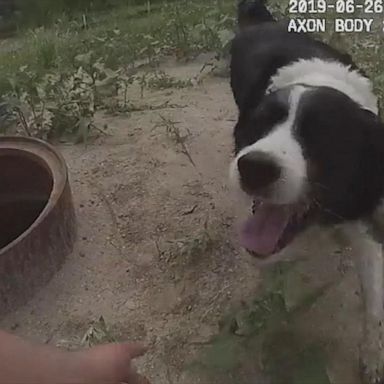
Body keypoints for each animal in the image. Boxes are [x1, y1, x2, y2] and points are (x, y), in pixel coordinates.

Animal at [230, 1, 384, 382]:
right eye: (259, 126)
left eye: (323, 135)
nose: (253, 167)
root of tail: (262, 21)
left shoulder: (363, 213)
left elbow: (374, 304)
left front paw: (374, 358)